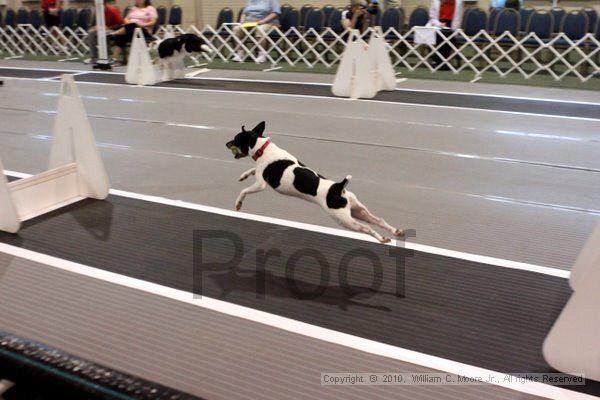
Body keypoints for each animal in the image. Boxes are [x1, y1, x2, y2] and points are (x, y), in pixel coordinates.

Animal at [227, 120, 406, 242]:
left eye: (236, 139)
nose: (226, 143)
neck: (262, 148)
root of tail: (339, 187)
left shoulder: (261, 184)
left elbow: (244, 190)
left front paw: (238, 203)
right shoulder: (259, 173)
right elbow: (251, 170)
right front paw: (243, 175)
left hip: (345, 219)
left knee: (367, 228)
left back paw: (382, 239)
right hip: (358, 210)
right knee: (379, 220)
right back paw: (395, 232)